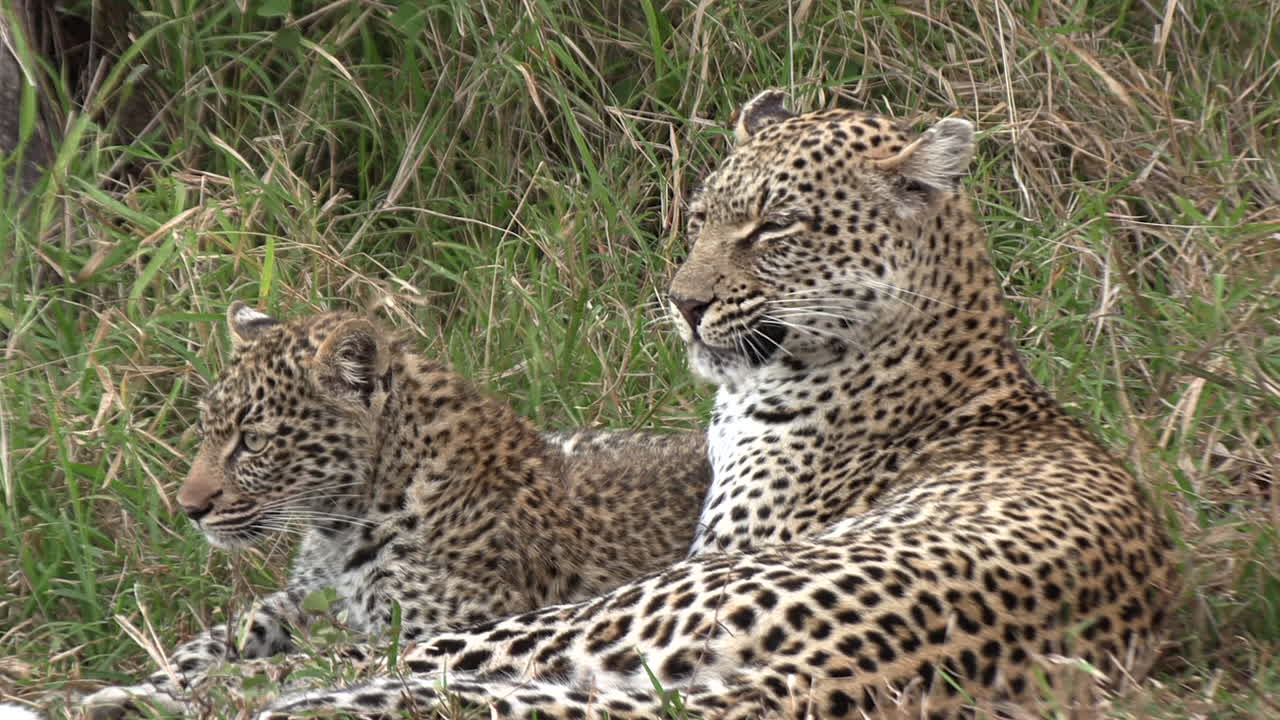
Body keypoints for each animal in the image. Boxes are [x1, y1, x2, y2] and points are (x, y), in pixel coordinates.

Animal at [80, 302, 710, 718]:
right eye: (208, 430)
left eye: (253, 442)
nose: (189, 509)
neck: (342, 522)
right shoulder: (309, 596)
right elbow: (236, 628)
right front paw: (163, 673)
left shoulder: (442, 628)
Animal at [232, 90, 1178, 720]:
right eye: (700, 217)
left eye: (777, 227)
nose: (682, 302)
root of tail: (845, 669)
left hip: (625, 608)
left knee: (382, 659)